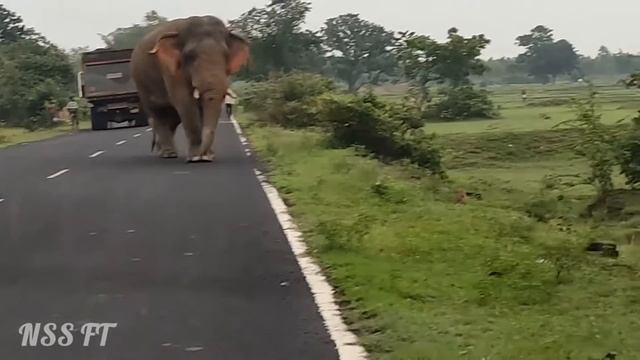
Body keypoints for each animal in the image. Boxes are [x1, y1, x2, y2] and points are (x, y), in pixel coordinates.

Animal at [131, 16, 250, 162]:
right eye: (190, 55)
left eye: (226, 55)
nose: (205, 154)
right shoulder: (171, 70)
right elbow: (186, 102)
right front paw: (196, 158)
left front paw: (206, 157)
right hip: (142, 83)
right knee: (158, 114)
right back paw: (168, 154)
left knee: (172, 118)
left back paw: (164, 151)